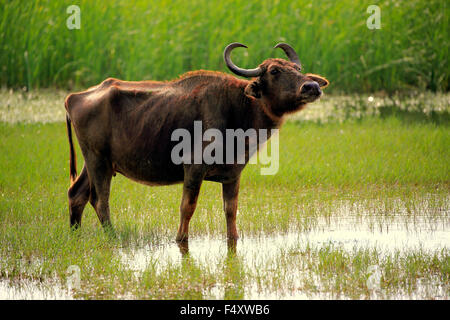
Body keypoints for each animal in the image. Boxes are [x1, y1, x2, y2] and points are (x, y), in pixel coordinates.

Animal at [65, 41, 328, 244]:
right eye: (274, 71)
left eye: (297, 68)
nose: (312, 86)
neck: (238, 109)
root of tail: (74, 97)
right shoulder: (193, 168)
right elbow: (187, 207)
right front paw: (180, 239)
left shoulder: (233, 174)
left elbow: (231, 210)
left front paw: (233, 238)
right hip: (98, 160)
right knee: (100, 200)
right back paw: (113, 236)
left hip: (95, 162)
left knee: (77, 194)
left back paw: (75, 235)